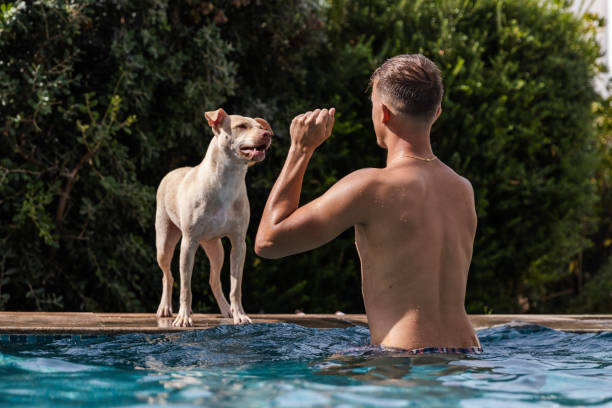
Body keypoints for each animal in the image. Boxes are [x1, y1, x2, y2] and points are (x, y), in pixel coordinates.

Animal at [155, 108, 272, 326]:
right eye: (241, 126)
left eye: (261, 127)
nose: (267, 134)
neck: (227, 180)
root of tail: (172, 172)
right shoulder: (189, 242)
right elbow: (186, 286)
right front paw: (184, 317)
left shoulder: (238, 243)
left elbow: (235, 286)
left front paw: (240, 315)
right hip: (164, 243)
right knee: (168, 276)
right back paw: (165, 308)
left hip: (216, 248)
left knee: (214, 279)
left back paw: (227, 310)